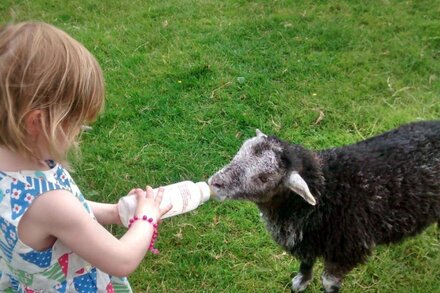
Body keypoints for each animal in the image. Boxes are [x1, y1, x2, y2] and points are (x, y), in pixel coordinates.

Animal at [209, 120, 440, 290]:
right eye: (238, 153)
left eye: (264, 178)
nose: (214, 183)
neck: (328, 193)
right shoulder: (308, 241)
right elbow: (306, 263)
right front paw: (300, 283)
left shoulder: (347, 251)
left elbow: (329, 283)